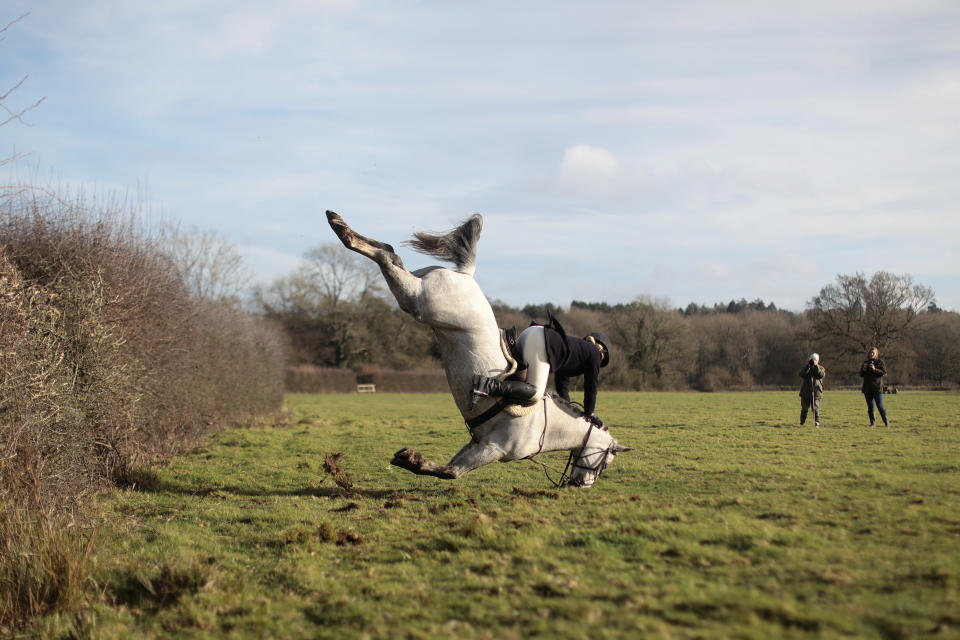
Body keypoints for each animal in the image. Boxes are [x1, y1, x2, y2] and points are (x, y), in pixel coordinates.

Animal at [330, 210, 632, 484]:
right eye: (606, 461)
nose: (581, 484)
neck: (546, 428)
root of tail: (466, 274)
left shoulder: (478, 443)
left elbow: (450, 468)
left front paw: (410, 459)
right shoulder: (493, 448)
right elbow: (450, 473)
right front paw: (410, 459)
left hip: (419, 294)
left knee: (389, 252)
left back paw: (340, 224)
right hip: (419, 302)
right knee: (389, 257)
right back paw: (341, 228)